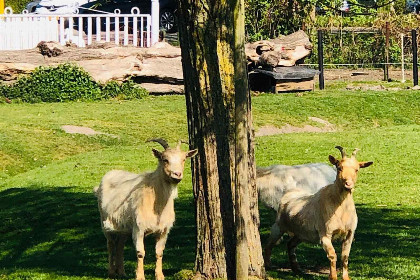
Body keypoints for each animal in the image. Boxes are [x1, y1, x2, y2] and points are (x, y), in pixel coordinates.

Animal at [94, 138, 199, 280]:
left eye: (183, 159)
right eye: (165, 159)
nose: (177, 174)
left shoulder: (164, 230)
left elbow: (159, 253)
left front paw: (160, 275)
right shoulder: (139, 228)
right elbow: (140, 253)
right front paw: (140, 276)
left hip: (124, 227)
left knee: (120, 245)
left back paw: (121, 272)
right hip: (105, 221)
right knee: (110, 244)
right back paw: (111, 272)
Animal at [264, 147, 372, 280]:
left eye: (357, 169)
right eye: (339, 167)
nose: (348, 184)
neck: (341, 209)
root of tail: (290, 192)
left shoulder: (350, 233)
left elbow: (345, 257)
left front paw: (346, 277)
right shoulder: (325, 234)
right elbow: (332, 255)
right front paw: (333, 277)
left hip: (302, 233)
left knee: (290, 244)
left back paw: (297, 269)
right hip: (279, 225)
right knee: (269, 243)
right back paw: (268, 265)